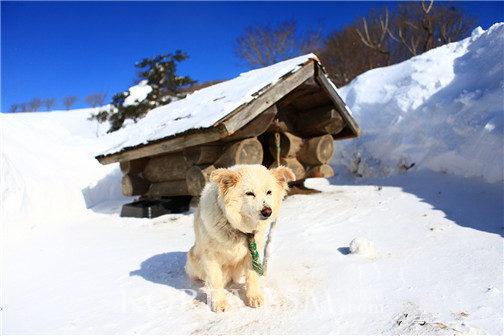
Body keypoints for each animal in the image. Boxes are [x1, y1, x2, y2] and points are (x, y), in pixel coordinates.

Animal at [185, 164, 296, 312]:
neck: (236, 227)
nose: (267, 211)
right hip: (193, 259)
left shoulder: (252, 252)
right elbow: (215, 281)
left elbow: (252, 276)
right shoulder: (210, 256)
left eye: (269, 192)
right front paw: (219, 303)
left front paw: (253, 297)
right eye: (249, 193)